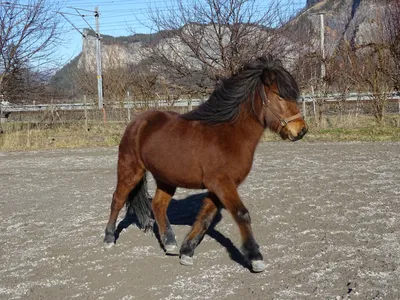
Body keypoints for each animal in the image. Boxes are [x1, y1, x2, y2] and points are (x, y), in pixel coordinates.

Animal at [103, 55, 306, 272]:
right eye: (281, 97)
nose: (301, 130)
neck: (229, 134)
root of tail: (137, 121)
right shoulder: (221, 183)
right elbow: (241, 214)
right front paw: (255, 257)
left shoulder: (219, 186)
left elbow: (204, 218)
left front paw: (186, 252)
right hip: (130, 170)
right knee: (117, 199)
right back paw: (109, 238)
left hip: (166, 179)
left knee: (158, 205)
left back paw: (170, 243)